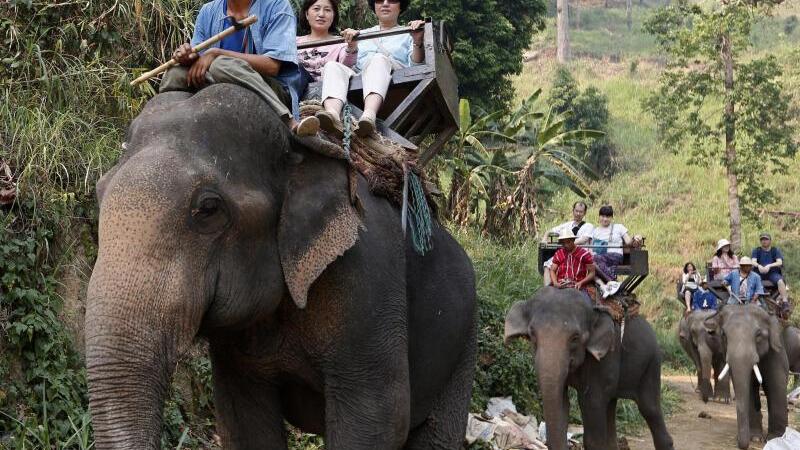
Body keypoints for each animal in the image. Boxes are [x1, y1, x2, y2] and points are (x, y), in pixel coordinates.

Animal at [85, 83, 478, 446]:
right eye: (99, 194)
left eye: (208, 209)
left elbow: (379, 416)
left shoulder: (370, 272)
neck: (297, 148)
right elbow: (243, 421)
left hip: (464, 346)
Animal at [506, 288, 676, 450]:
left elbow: (591, 401)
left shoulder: (606, 355)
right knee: (611, 405)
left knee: (650, 408)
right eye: (532, 334)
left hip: (651, 364)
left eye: (575, 337)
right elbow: (562, 402)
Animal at [704, 304, 784, 448]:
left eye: (758, 335)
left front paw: (776, 438)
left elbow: (777, 384)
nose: (740, 442)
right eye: (723, 335)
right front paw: (755, 439)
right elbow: (749, 389)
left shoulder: (776, 351)